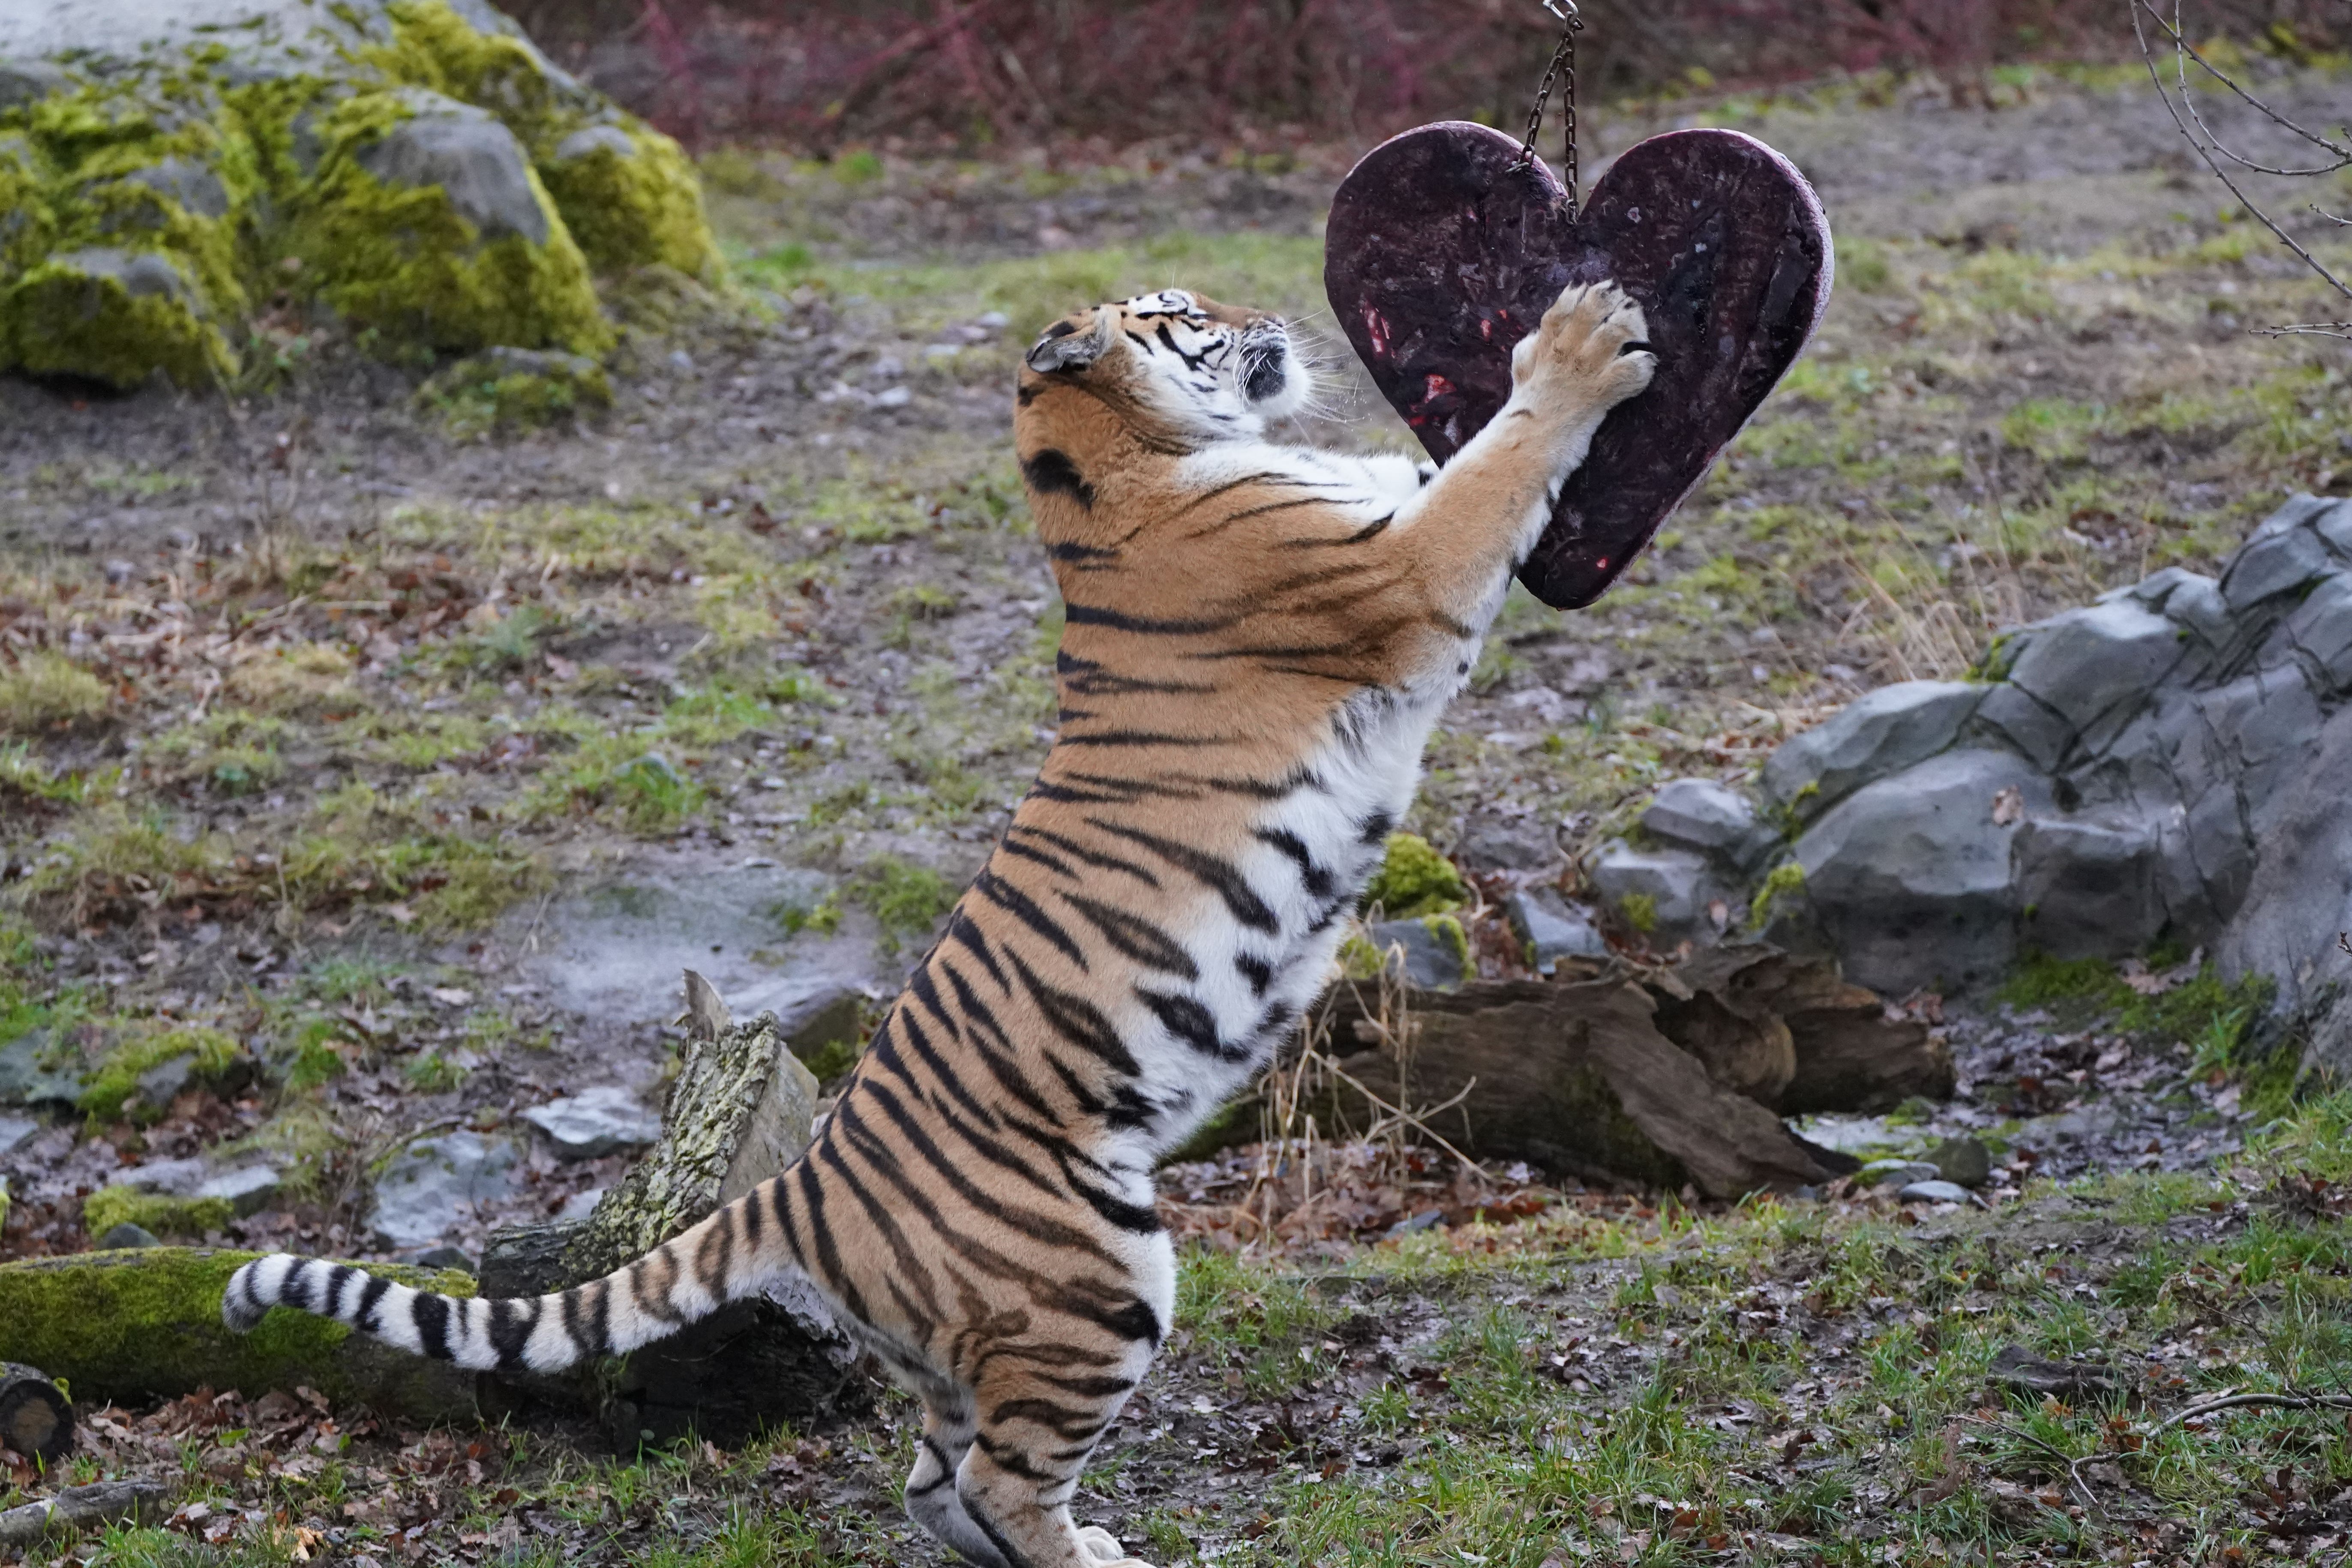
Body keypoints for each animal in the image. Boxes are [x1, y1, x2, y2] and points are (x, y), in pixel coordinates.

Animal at [221, 279, 1656, 1568]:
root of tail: (797, 1183)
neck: (1111, 470)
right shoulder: (1408, 569)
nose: (1270, 318)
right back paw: (1099, 1561)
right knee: (993, 1484)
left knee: (931, 1483)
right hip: (1098, 1282)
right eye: (1185, 312)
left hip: (978, 1343)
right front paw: (1582, 343)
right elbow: (1498, 457)